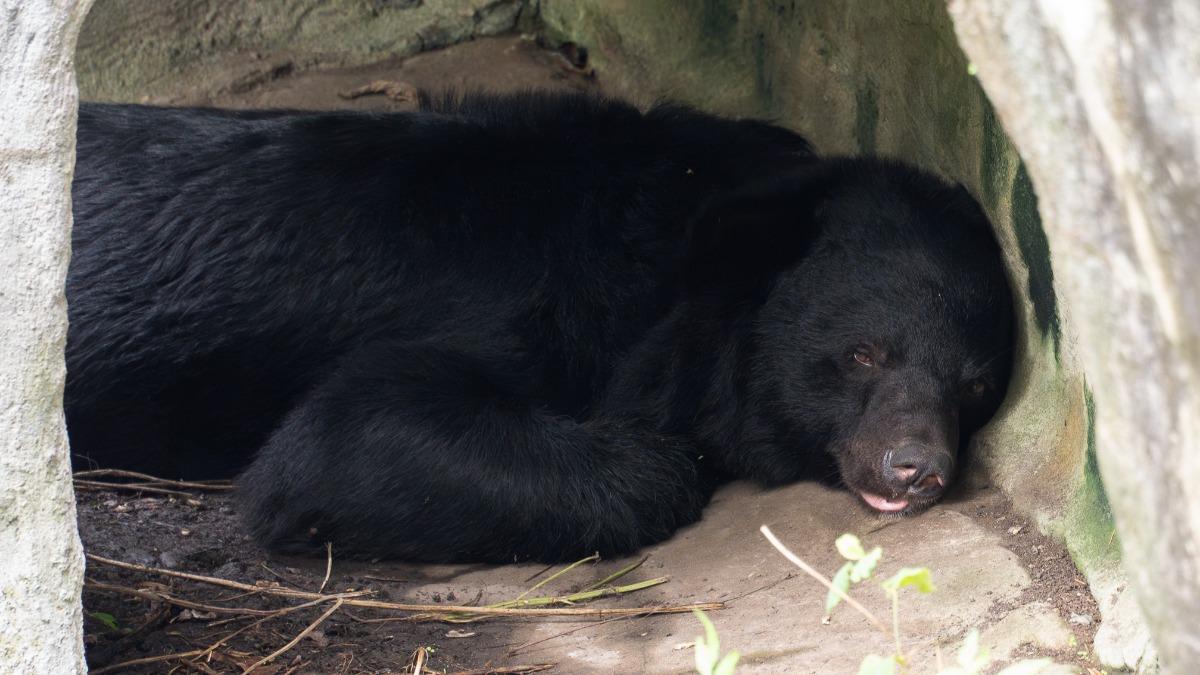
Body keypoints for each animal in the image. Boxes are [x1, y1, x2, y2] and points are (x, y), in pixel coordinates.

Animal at [67, 91, 1013, 563]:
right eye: (862, 354)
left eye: (974, 384)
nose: (915, 466)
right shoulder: (533, 310)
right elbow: (344, 436)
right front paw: (668, 458)